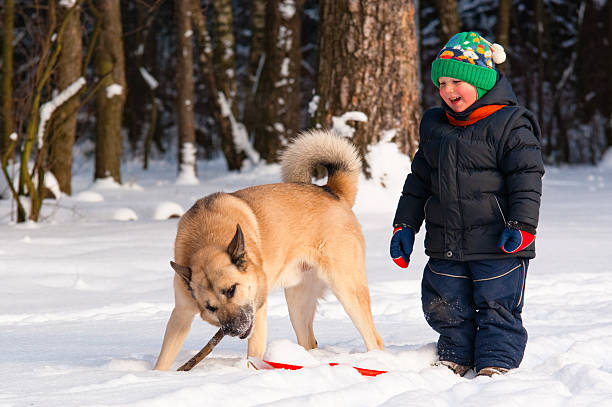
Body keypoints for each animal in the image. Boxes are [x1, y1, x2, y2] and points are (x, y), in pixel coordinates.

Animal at [153, 129, 382, 372]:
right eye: (210, 307)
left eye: (232, 290)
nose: (232, 330)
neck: (206, 238)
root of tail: (332, 191)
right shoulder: (181, 314)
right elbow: (163, 359)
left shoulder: (258, 310)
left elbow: (253, 355)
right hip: (297, 301)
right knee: (308, 342)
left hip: (346, 289)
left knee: (374, 339)